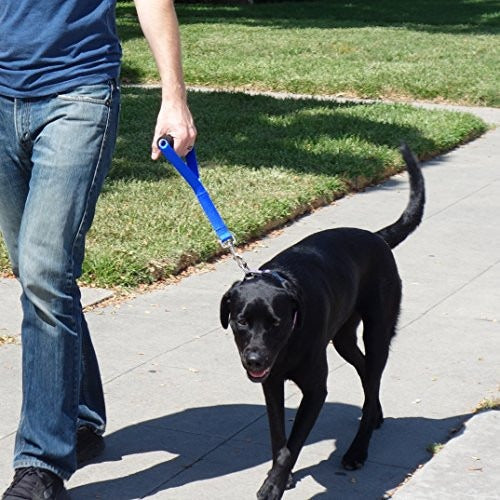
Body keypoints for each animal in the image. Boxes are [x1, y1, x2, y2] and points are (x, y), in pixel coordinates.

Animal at [220, 145, 426, 500]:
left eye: (276, 322)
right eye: (241, 321)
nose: (254, 359)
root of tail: (376, 238)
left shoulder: (315, 390)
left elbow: (291, 447)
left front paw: (273, 485)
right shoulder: (271, 385)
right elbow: (279, 438)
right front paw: (280, 476)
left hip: (378, 331)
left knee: (372, 375)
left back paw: (358, 449)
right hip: (343, 337)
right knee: (365, 373)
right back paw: (375, 415)